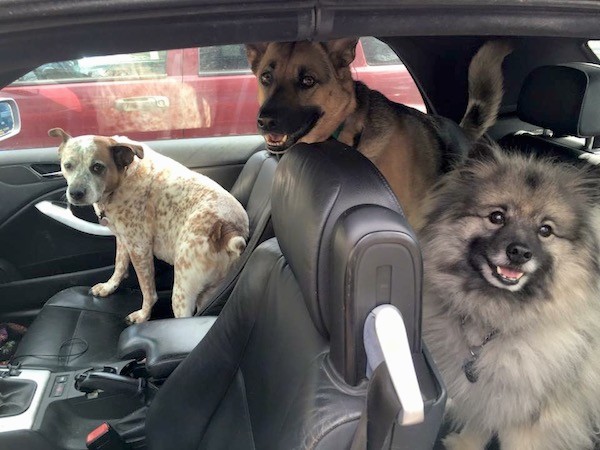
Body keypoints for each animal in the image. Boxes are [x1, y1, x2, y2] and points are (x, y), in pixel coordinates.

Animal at [50, 127, 248, 324]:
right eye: (68, 165)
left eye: (97, 167)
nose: (75, 193)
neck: (125, 176)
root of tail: (225, 228)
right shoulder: (124, 239)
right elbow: (119, 266)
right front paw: (108, 287)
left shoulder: (140, 248)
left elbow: (148, 292)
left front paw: (143, 315)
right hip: (212, 290)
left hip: (182, 290)